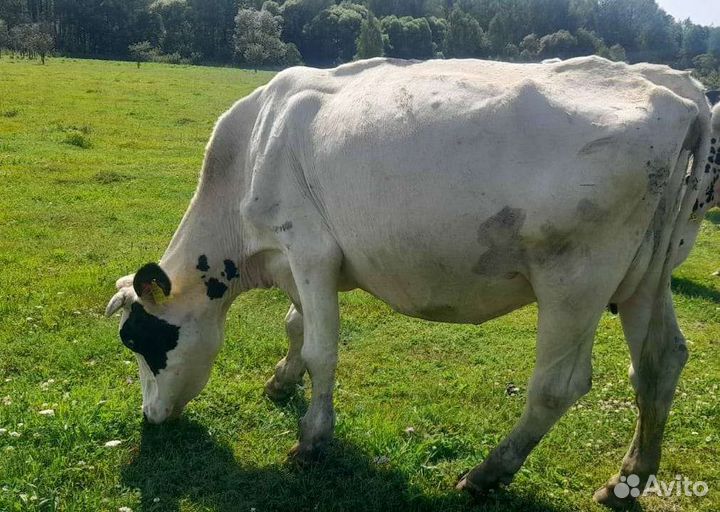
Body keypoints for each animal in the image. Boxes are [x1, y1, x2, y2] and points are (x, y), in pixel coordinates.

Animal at [106, 56, 720, 507]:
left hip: (576, 280)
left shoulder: (309, 250)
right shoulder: (299, 264)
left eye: (140, 340)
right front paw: (281, 380)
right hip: (645, 278)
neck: (254, 146)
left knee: (558, 386)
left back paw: (488, 472)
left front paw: (312, 438)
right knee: (661, 363)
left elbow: (322, 349)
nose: (150, 417)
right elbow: (295, 327)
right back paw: (628, 479)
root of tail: (675, 90)